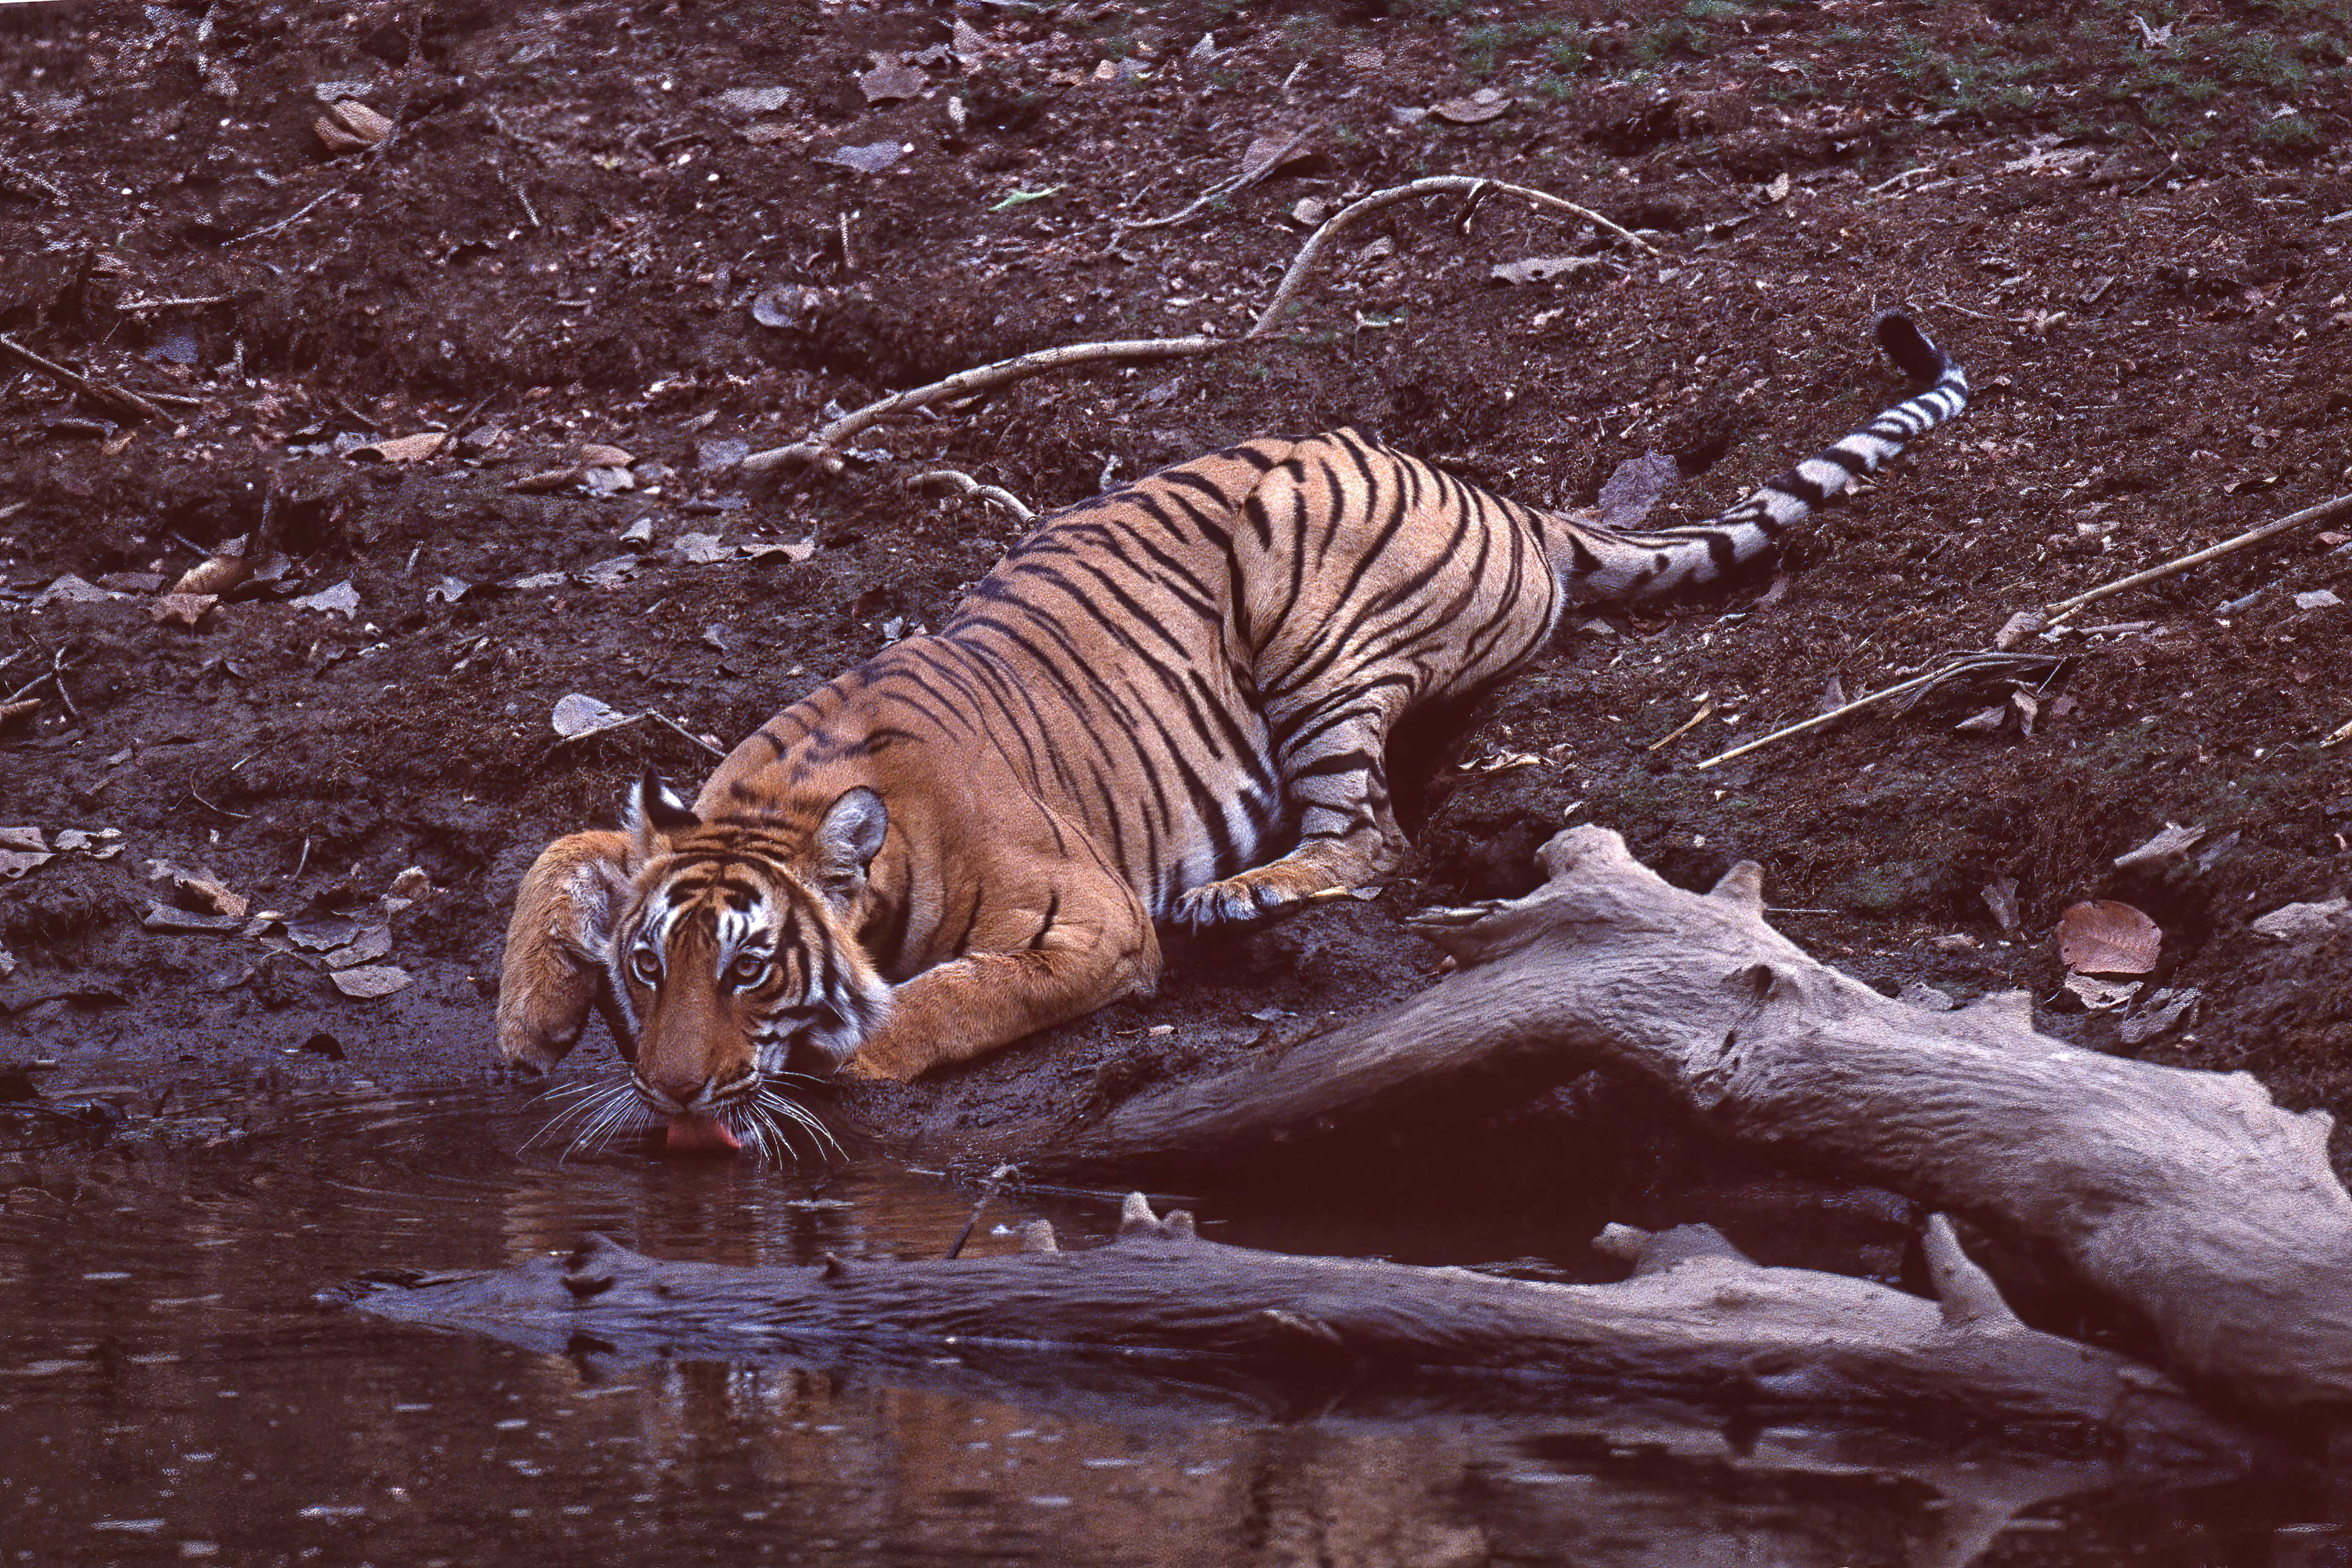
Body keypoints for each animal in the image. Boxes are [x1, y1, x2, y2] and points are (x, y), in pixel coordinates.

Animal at [497, 313, 1967, 1155]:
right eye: (653, 967)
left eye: (752, 970)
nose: (673, 1096)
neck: (793, 798)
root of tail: (1509, 499)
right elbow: (562, 846)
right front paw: (524, 1024)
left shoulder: (1084, 919)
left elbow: (956, 996)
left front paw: (847, 1051)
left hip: (1306, 603)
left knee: (1372, 834)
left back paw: (1242, 894)